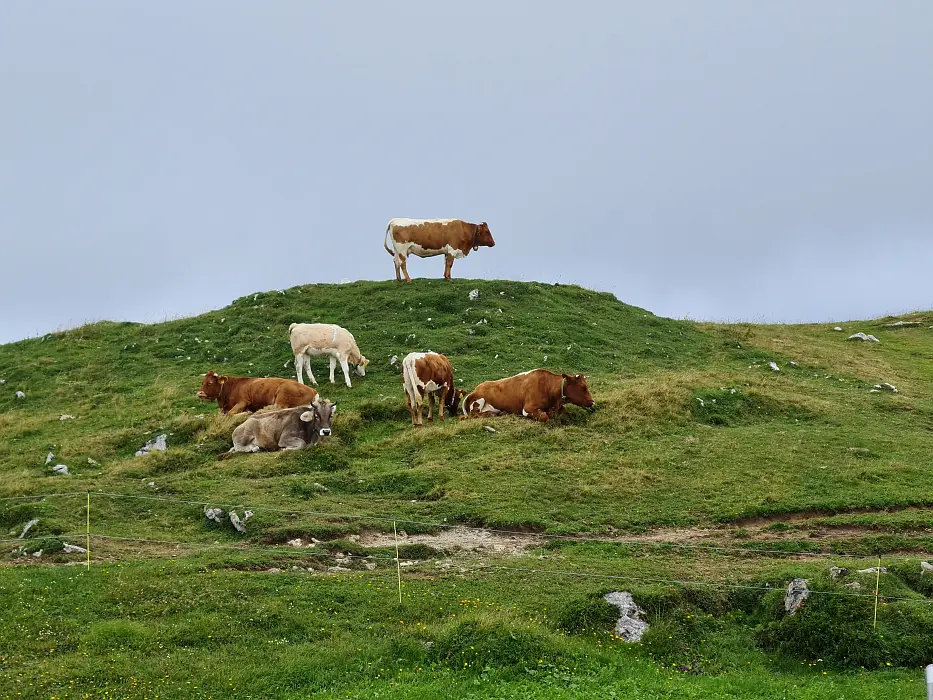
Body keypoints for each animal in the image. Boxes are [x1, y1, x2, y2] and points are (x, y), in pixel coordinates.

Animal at [462, 366, 592, 422]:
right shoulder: (528, 408)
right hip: (479, 399)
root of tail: (476, 388)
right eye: (583, 387)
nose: (592, 402)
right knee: (475, 414)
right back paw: (492, 414)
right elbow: (545, 416)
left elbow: (565, 413)